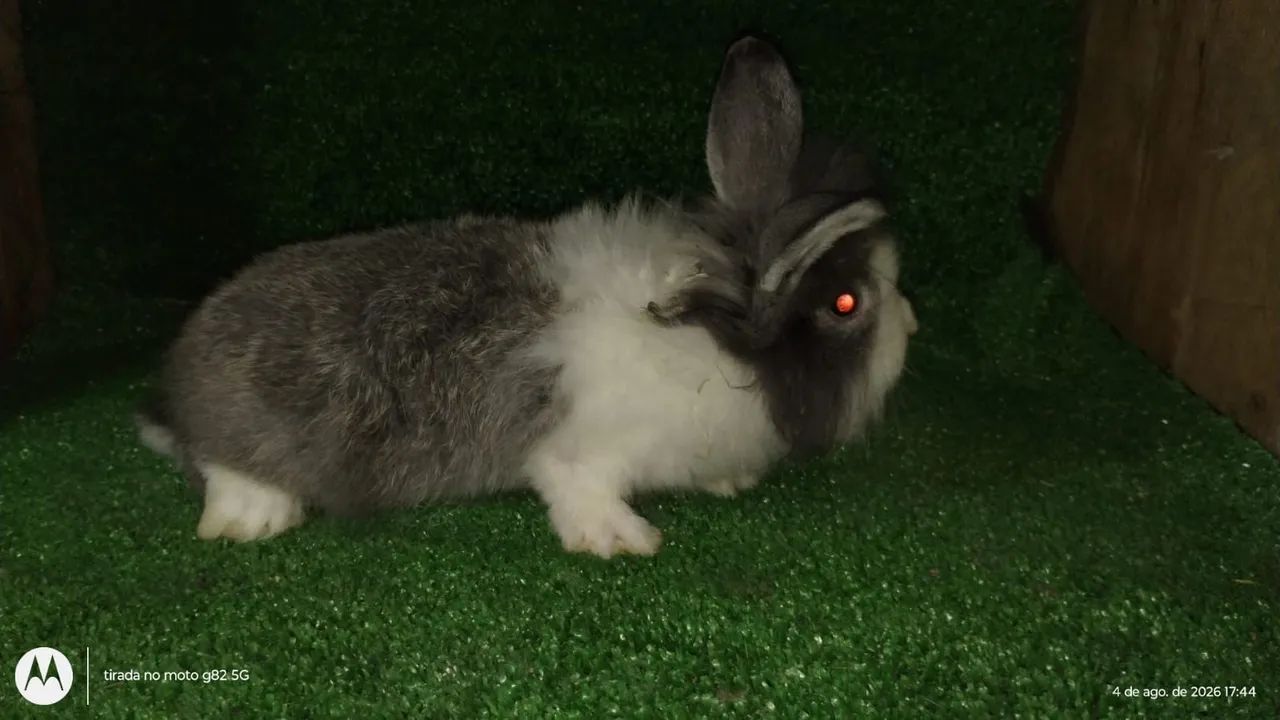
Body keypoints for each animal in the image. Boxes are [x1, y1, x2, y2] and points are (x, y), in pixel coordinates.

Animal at [136, 36, 918, 558]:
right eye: (847, 305)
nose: (913, 323)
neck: (714, 338)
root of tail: (176, 391)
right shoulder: (581, 451)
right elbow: (578, 490)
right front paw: (623, 541)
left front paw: (732, 483)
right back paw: (253, 520)